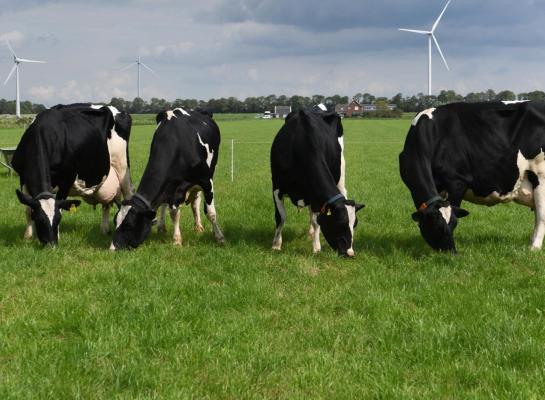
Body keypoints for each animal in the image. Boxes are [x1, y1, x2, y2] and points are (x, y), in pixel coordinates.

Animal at [12, 104, 133, 245]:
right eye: (39, 220)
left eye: (58, 219)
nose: (51, 243)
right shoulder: (23, 177)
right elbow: (27, 208)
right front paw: (28, 236)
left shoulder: (67, 179)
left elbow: (60, 207)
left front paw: (57, 235)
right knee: (106, 204)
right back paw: (104, 230)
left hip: (122, 166)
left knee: (128, 194)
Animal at [110, 106, 223, 250]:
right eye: (115, 222)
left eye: (129, 225)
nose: (112, 248)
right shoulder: (172, 187)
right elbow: (174, 213)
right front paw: (177, 240)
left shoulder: (206, 182)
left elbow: (210, 212)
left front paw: (219, 237)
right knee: (167, 204)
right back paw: (162, 226)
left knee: (196, 202)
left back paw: (198, 226)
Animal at [270, 104, 364, 258]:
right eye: (339, 223)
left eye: (354, 224)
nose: (350, 253)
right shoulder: (277, 187)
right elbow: (281, 216)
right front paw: (276, 244)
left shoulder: (316, 196)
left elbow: (316, 221)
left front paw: (316, 247)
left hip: (341, 170)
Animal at [398, 101, 545, 253]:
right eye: (437, 227)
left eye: (453, 224)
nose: (451, 253)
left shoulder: (456, 182)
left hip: (541, 176)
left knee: (541, 216)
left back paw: (534, 247)